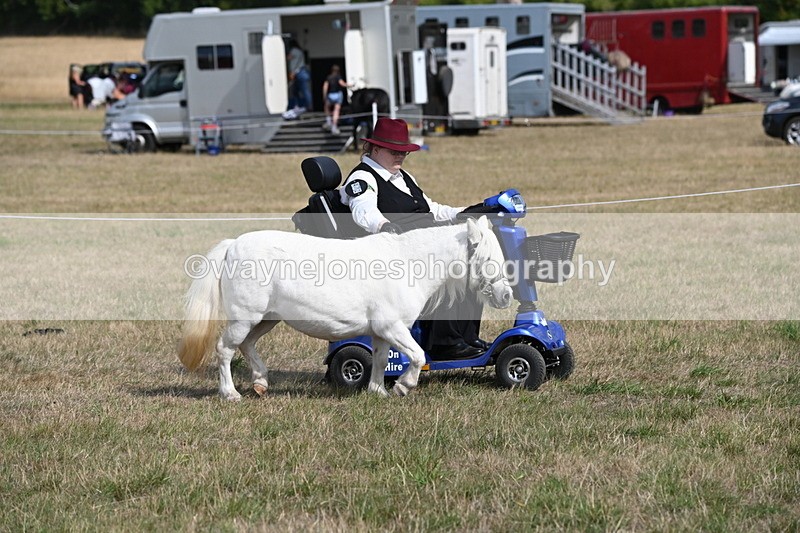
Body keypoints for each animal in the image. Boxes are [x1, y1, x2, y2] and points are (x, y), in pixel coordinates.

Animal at [178, 216, 513, 400]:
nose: (506, 295)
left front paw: (377, 391)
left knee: (247, 345)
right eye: (487, 258)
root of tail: (233, 245)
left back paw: (260, 383)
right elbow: (418, 356)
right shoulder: (393, 327)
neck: (406, 264)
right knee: (225, 349)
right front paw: (403, 387)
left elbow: (380, 360)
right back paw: (230, 393)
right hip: (244, 317)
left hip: (266, 319)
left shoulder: (381, 331)